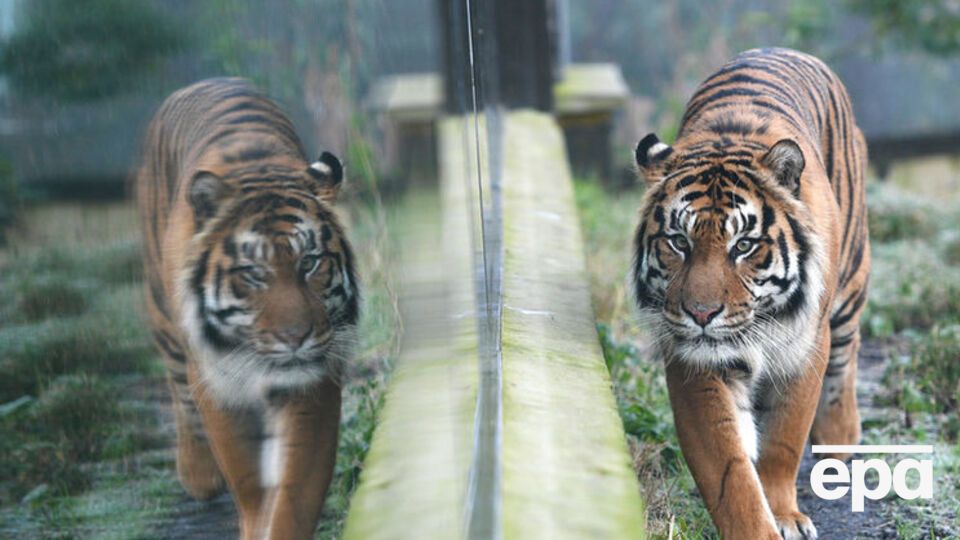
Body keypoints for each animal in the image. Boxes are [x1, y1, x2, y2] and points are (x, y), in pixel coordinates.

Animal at [136, 78, 358, 540]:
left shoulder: (313, 378)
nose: (296, 337)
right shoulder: (217, 380)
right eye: (254, 273)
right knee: (177, 385)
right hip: (164, 317)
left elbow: (296, 485)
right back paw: (198, 475)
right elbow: (247, 476)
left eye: (310, 262)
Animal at [631, 48, 869, 539]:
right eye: (678, 242)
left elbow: (784, 440)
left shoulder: (805, 347)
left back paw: (839, 442)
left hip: (851, 284)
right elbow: (728, 467)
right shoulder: (692, 362)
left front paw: (786, 515)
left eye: (742, 245)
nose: (701, 314)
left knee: (847, 352)